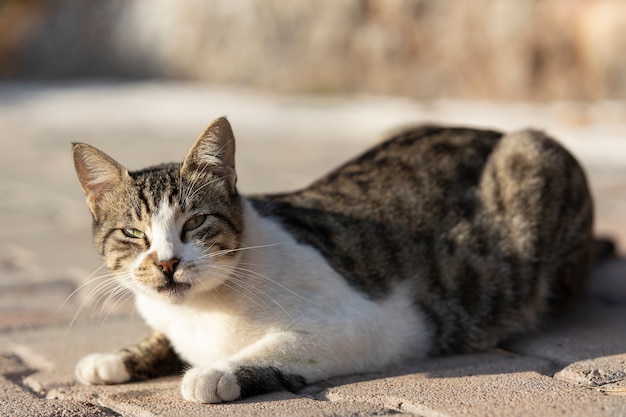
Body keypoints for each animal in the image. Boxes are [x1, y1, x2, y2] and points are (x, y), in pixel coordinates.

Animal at [70, 115, 592, 402]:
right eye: (133, 233)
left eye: (195, 223)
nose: (167, 263)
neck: (200, 311)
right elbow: (160, 339)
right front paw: (114, 359)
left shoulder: (370, 325)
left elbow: (279, 347)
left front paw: (217, 373)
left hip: (532, 155)